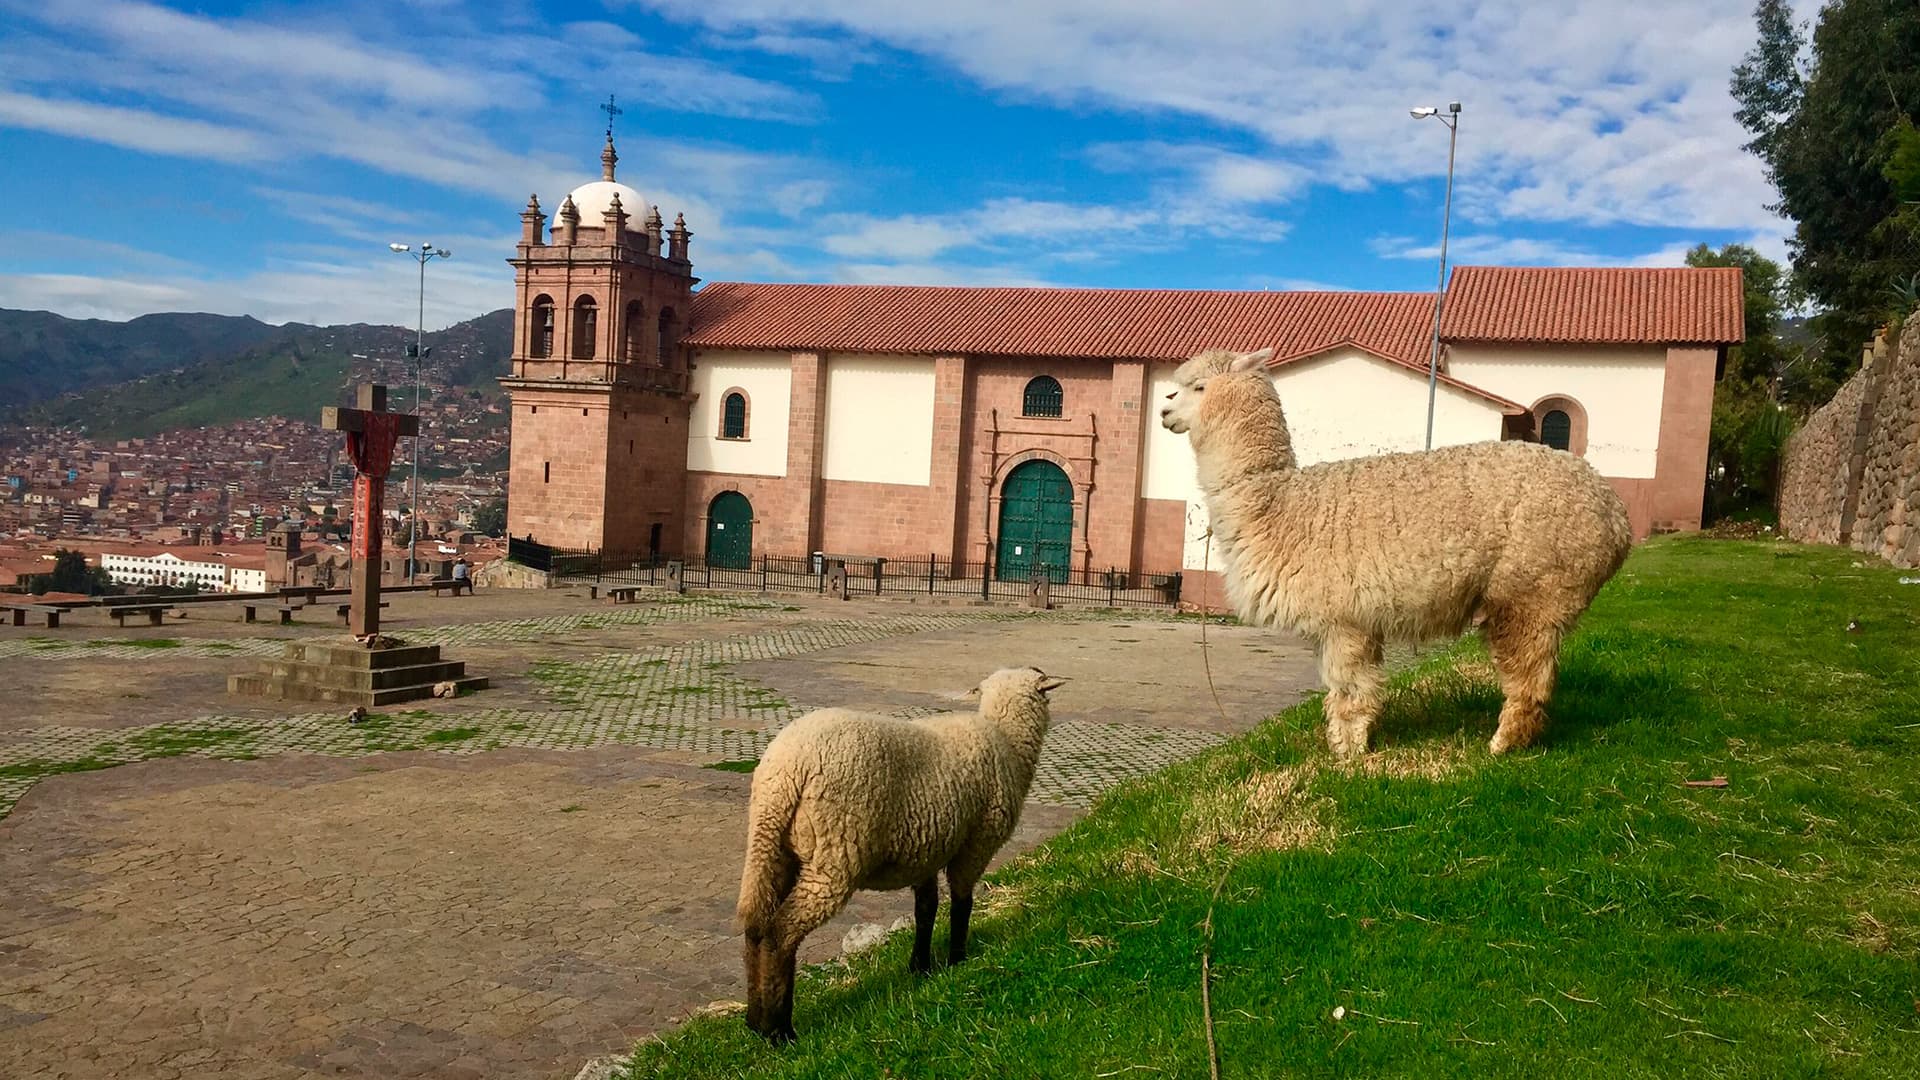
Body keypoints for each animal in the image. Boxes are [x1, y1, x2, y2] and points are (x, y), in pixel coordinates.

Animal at [733, 664, 1075, 1045]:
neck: (1007, 741)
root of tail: (786, 771)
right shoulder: (975, 844)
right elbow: (962, 903)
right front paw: (958, 959)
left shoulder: (927, 849)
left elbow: (926, 909)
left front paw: (920, 968)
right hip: (834, 855)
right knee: (782, 932)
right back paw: (779, 1029)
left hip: (773, 848)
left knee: (756, 926)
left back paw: (755, 1019)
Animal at [1159, 343, 1628, 757]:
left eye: (1197, 387)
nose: (1164, 410)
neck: (1281, 506)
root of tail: (1615, 513)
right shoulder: (1350, 622)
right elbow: (1352, 688)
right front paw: (1350, 746)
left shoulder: (1344, 618)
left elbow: (1350, 692)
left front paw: (1347, 757)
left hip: (1531, 586)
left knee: (1529, 674)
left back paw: (1501, 745)